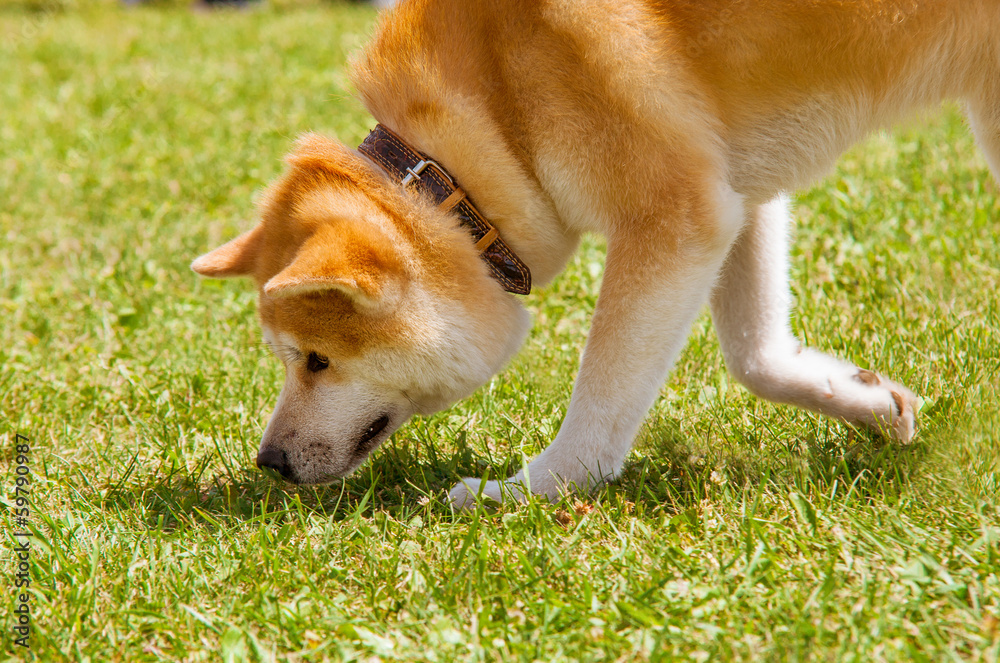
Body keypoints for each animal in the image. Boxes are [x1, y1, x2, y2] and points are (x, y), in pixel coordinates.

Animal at [193, 0, 1000, 508]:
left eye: (315, 360)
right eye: (289, 358)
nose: (269, 461)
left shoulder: (677, 214)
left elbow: (603, 398)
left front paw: (535, 489)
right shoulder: (731, 191)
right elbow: (757, 357)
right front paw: (866, 401)